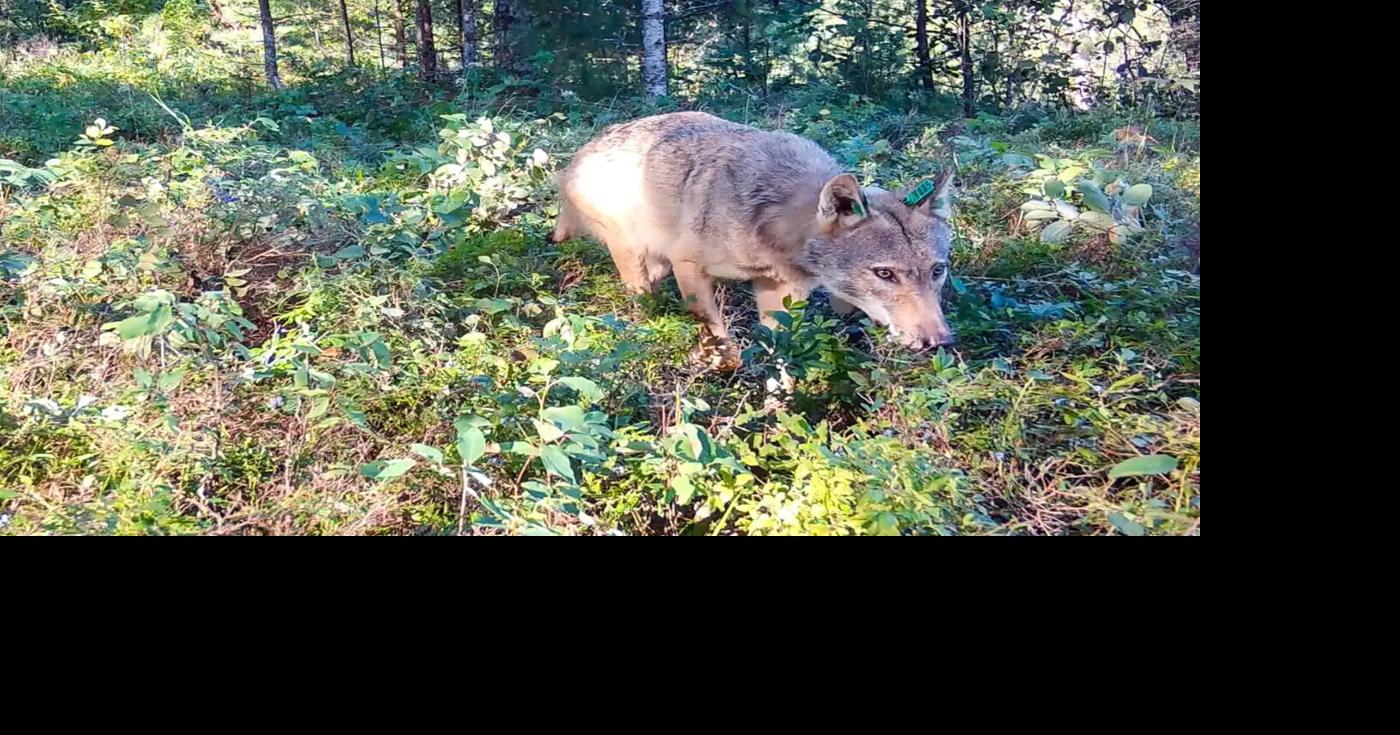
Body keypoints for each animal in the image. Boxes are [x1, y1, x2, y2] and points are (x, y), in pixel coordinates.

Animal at [550, 111, 956, 369]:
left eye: (937, 271)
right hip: (638, 261)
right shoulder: (689, 267)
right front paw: (717, 363)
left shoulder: (780, 293)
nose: (938, 341)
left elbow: (779, 360)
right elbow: (720, 339)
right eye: (885, 274)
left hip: (657, 265)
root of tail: (576, 157)